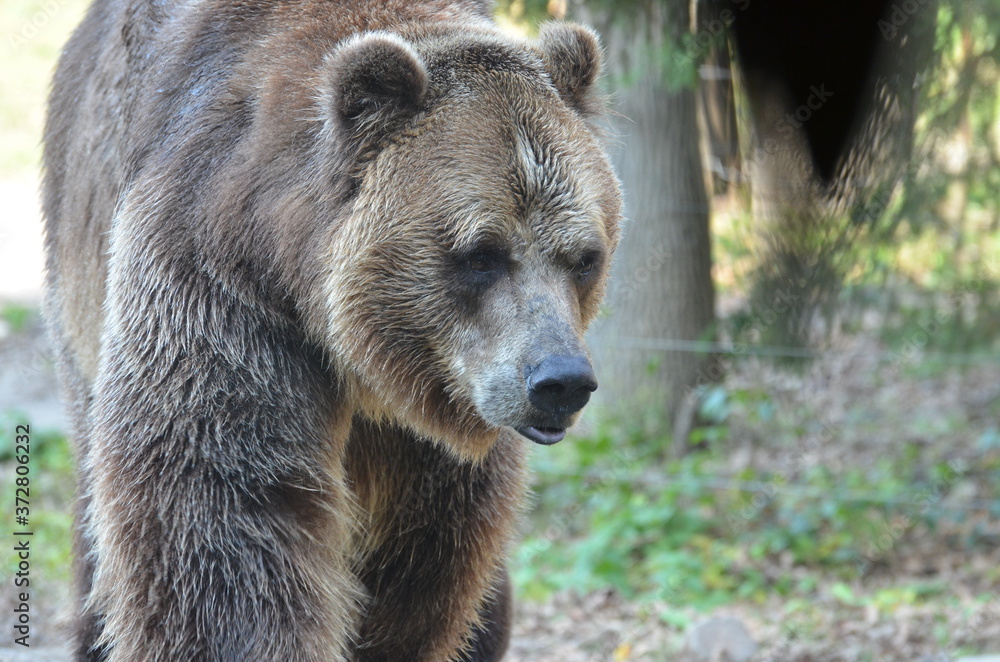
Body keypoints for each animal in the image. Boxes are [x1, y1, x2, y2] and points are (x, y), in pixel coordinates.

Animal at [41, 0, 621, 660]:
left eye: (585, 257)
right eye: (481, 254)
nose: (560, 380)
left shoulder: (434, 417)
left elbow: (424, 555)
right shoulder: (221, 285)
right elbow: (225, 515)